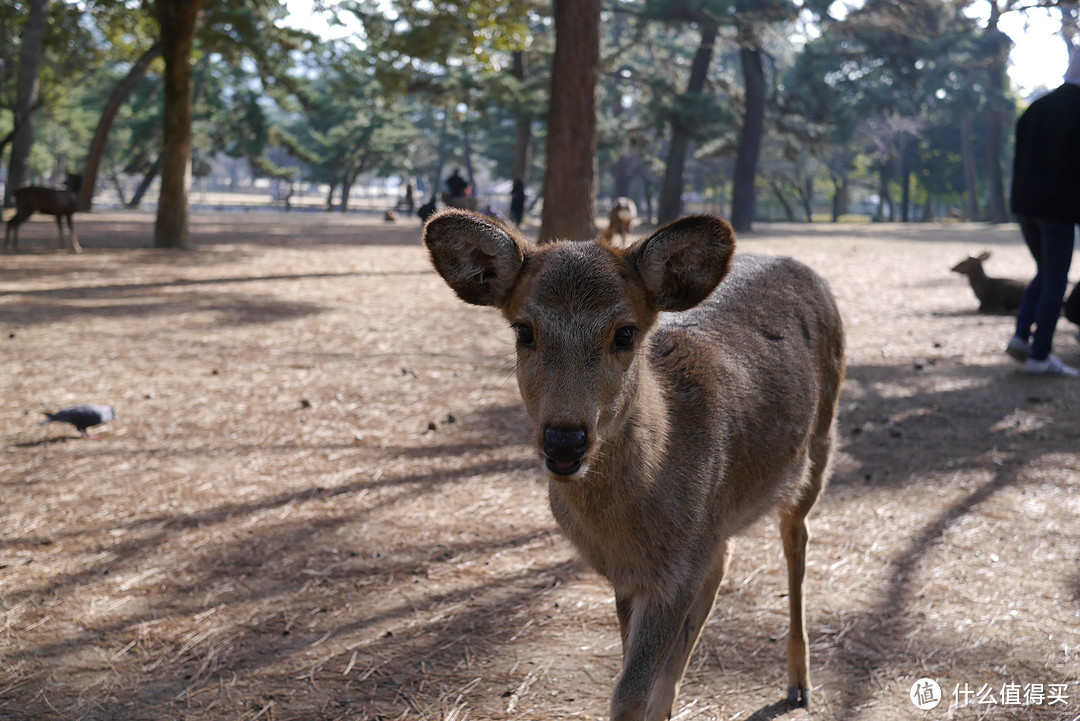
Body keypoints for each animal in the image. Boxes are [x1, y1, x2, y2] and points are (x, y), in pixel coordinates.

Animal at [425, 209, 846, 721]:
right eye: (524, 330)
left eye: (624, 333)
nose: (564, 439)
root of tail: (805, 269)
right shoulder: (629, 575)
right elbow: (633, 673)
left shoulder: (673, 575)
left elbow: (627, 693)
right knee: (723, 559)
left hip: (820, 443)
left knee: (796, 538)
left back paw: (800, 684)